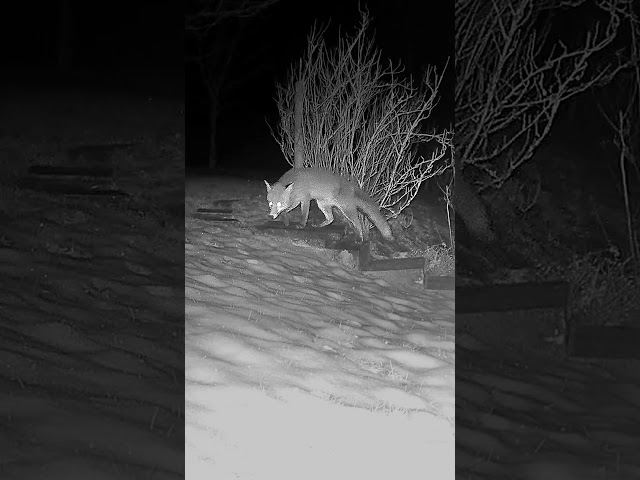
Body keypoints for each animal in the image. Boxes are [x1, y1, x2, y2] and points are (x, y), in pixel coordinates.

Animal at [262, 169, 392, 244]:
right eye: (271, 203)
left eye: (279, 203)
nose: (271, 215)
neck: (295, 184)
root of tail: (351, 186)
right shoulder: (295, 201)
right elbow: (285, 212)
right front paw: (286, 221)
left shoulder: (305, 199)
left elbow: (304, 214)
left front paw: (302, 225)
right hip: (322, 204)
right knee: (331, 218)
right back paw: (319, 225)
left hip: (346, 209)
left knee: (357, 222)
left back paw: (360, 239)